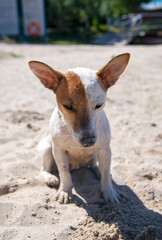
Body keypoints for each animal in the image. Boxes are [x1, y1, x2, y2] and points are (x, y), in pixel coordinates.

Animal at [28, 53, 130, 203]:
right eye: (67, 106)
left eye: (99, 105)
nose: (88, 142)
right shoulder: (58, 150)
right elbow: (64, 171)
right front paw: (65, 191)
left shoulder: (105, 149)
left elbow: (106, 173)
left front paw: (109, 192)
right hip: (47, 147)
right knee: (44, 169)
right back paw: (50, 178)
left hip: (96, 153)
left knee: (94, 165)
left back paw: (98, 170)